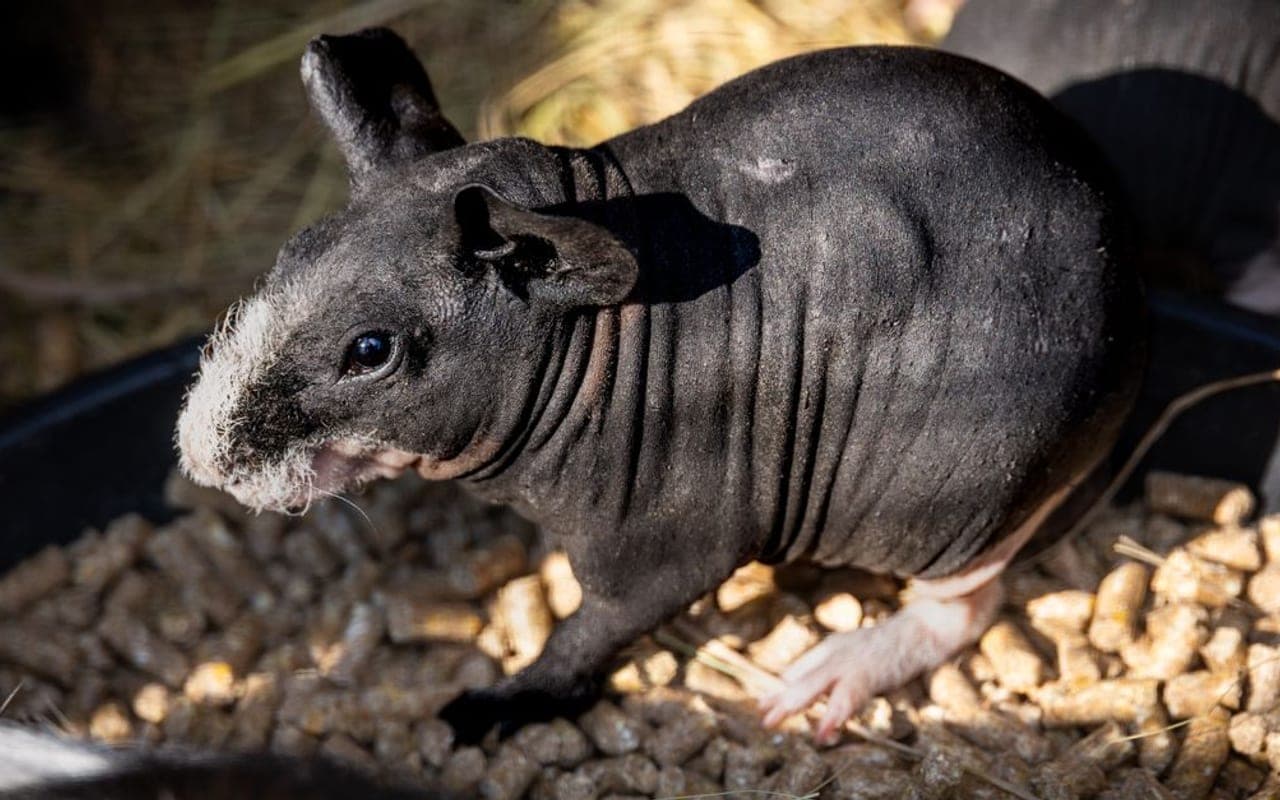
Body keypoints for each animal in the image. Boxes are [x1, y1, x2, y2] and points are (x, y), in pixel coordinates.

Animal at [176, 28, 1143, 743]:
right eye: (284, 265)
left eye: (370, 351)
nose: (202, 454)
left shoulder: (667, 549)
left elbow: (587, 635)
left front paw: (492, 707)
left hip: (957, 507)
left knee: (967, 608)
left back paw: (831, 675)